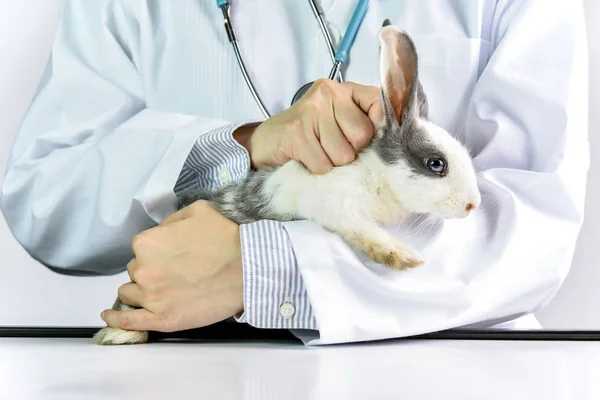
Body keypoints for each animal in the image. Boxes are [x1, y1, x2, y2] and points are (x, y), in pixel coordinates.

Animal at [91, 21, 480, 346]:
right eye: (436, 164)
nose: (473, 205)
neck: (377, 175)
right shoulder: (333, 205)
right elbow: (363, 230)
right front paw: (403, 256)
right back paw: (116, 335)